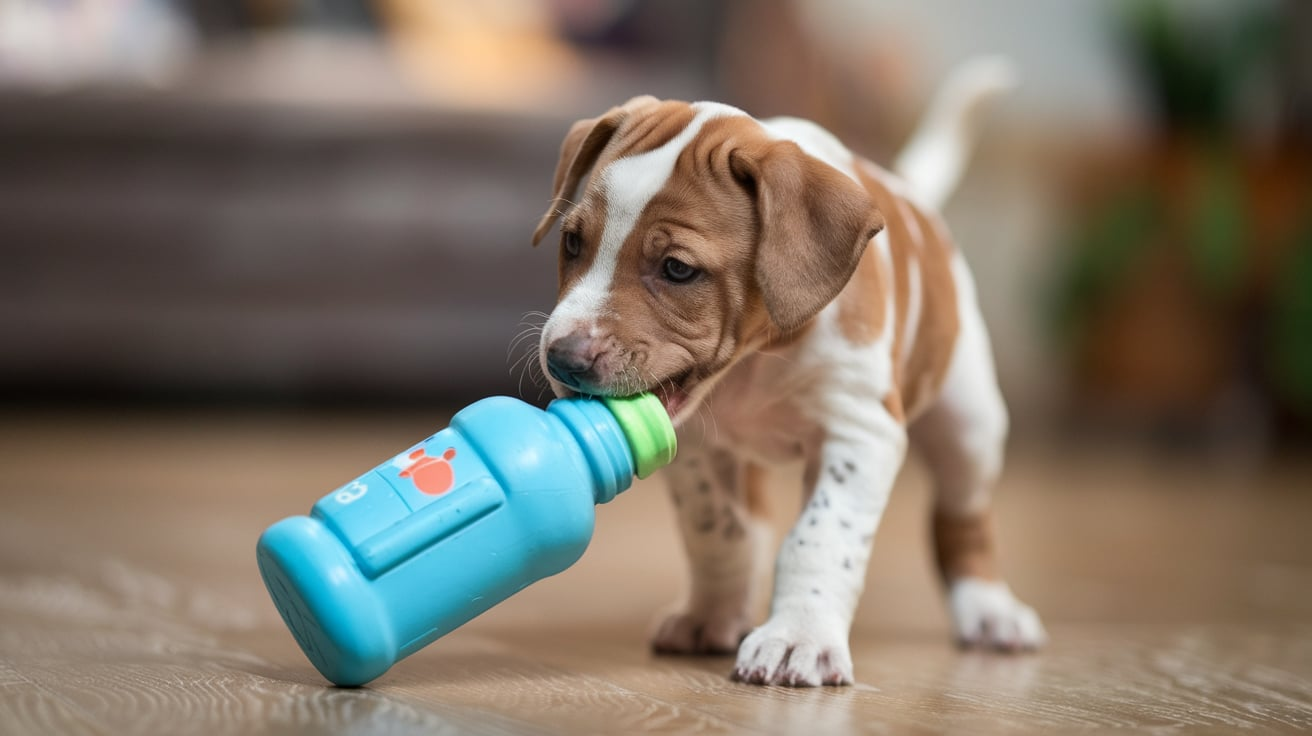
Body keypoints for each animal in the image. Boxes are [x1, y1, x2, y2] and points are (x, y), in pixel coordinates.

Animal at [532, 60, 1044, 687]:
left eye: (677, 268)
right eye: (572, 242)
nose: (563, 358)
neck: (755, 362)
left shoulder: (859, 434)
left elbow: (819, 539)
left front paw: (798, 636)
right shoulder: (696, 446)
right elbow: (718, 529)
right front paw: (715, 613)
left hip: (969, 426)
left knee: (964, 520)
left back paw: (990, 609)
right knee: (752, 520)